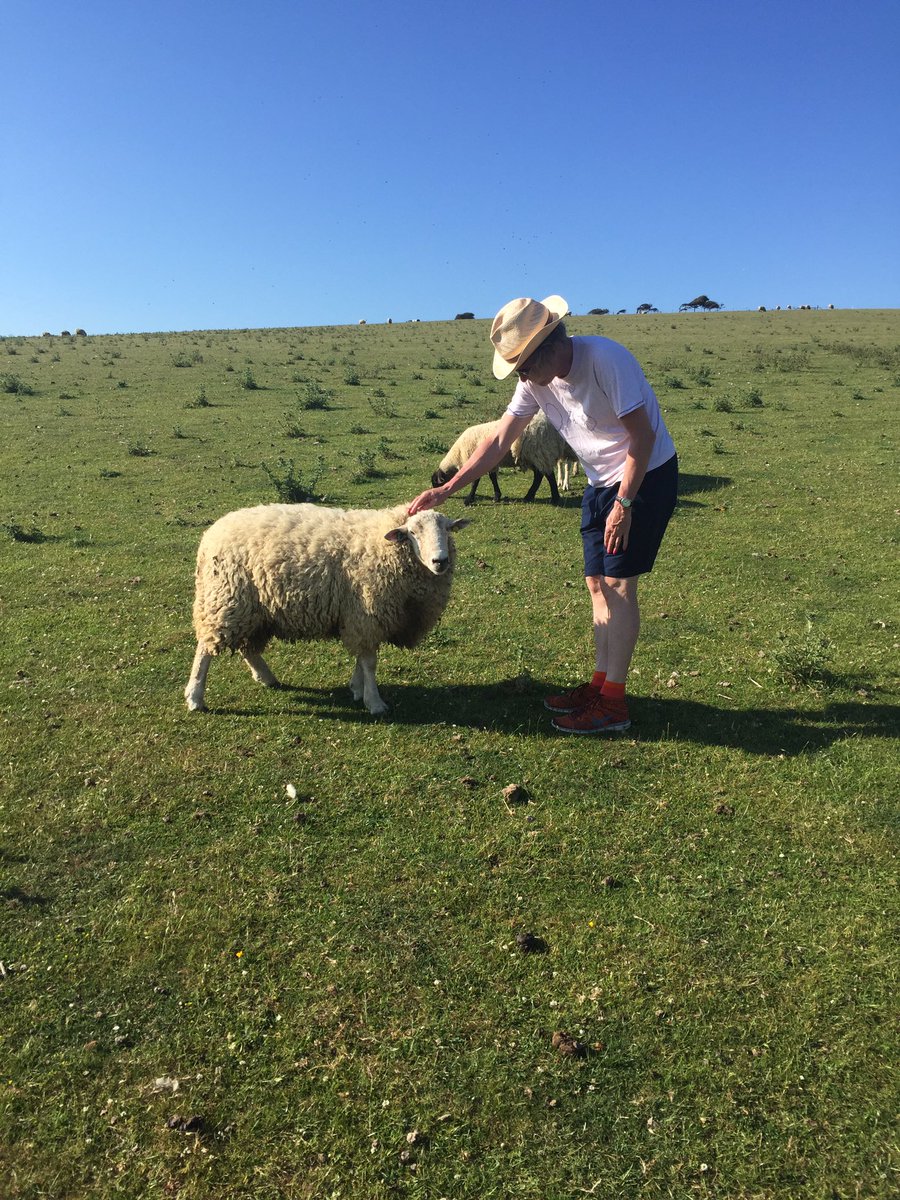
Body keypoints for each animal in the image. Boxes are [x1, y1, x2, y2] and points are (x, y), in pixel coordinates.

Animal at [184, 503, 469, 716]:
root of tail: (212, 533)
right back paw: (195, 696)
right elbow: (369, 662)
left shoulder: (358, 616)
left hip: (254, 609)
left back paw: (266, 677)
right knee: (205, 649)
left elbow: (362, 657)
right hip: (226, 599)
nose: (440, 561)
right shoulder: (366, 613)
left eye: (447, 529)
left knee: (248, 647)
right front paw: (374, 702)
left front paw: (357, 689)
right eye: (412, 532)